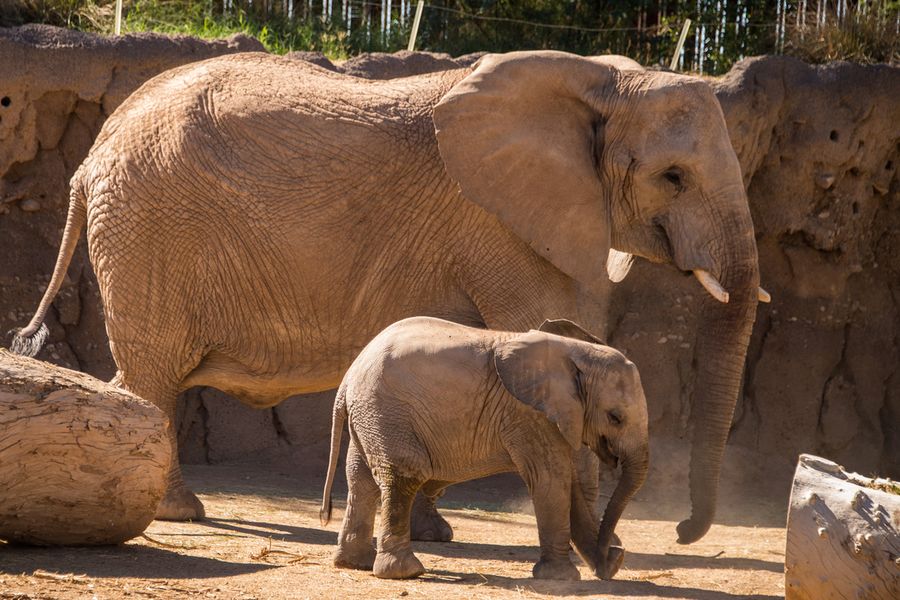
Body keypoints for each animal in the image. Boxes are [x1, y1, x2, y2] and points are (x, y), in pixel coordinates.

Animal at [10, 51, 764, 544]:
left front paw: (434, 534)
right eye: (674, 177)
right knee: (155, 370)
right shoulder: (503, 224)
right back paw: (179, 513)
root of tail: (94, 151)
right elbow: (544, 334)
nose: (684, 530)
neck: (601, 80)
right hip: (149, 226)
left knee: (141, 372)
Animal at [322, 316, 648, 580]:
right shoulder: (528, 413)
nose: (612, 552)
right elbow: (551, 479)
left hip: (371, 416)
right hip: (388, 413)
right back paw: (406, 572)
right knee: (402, 476)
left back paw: (355, 564)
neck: (574, 352)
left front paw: (609, 564)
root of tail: (348, 378)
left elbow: (569, 481)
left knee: (361, 480)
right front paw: (561, 578)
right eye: (615, 417)